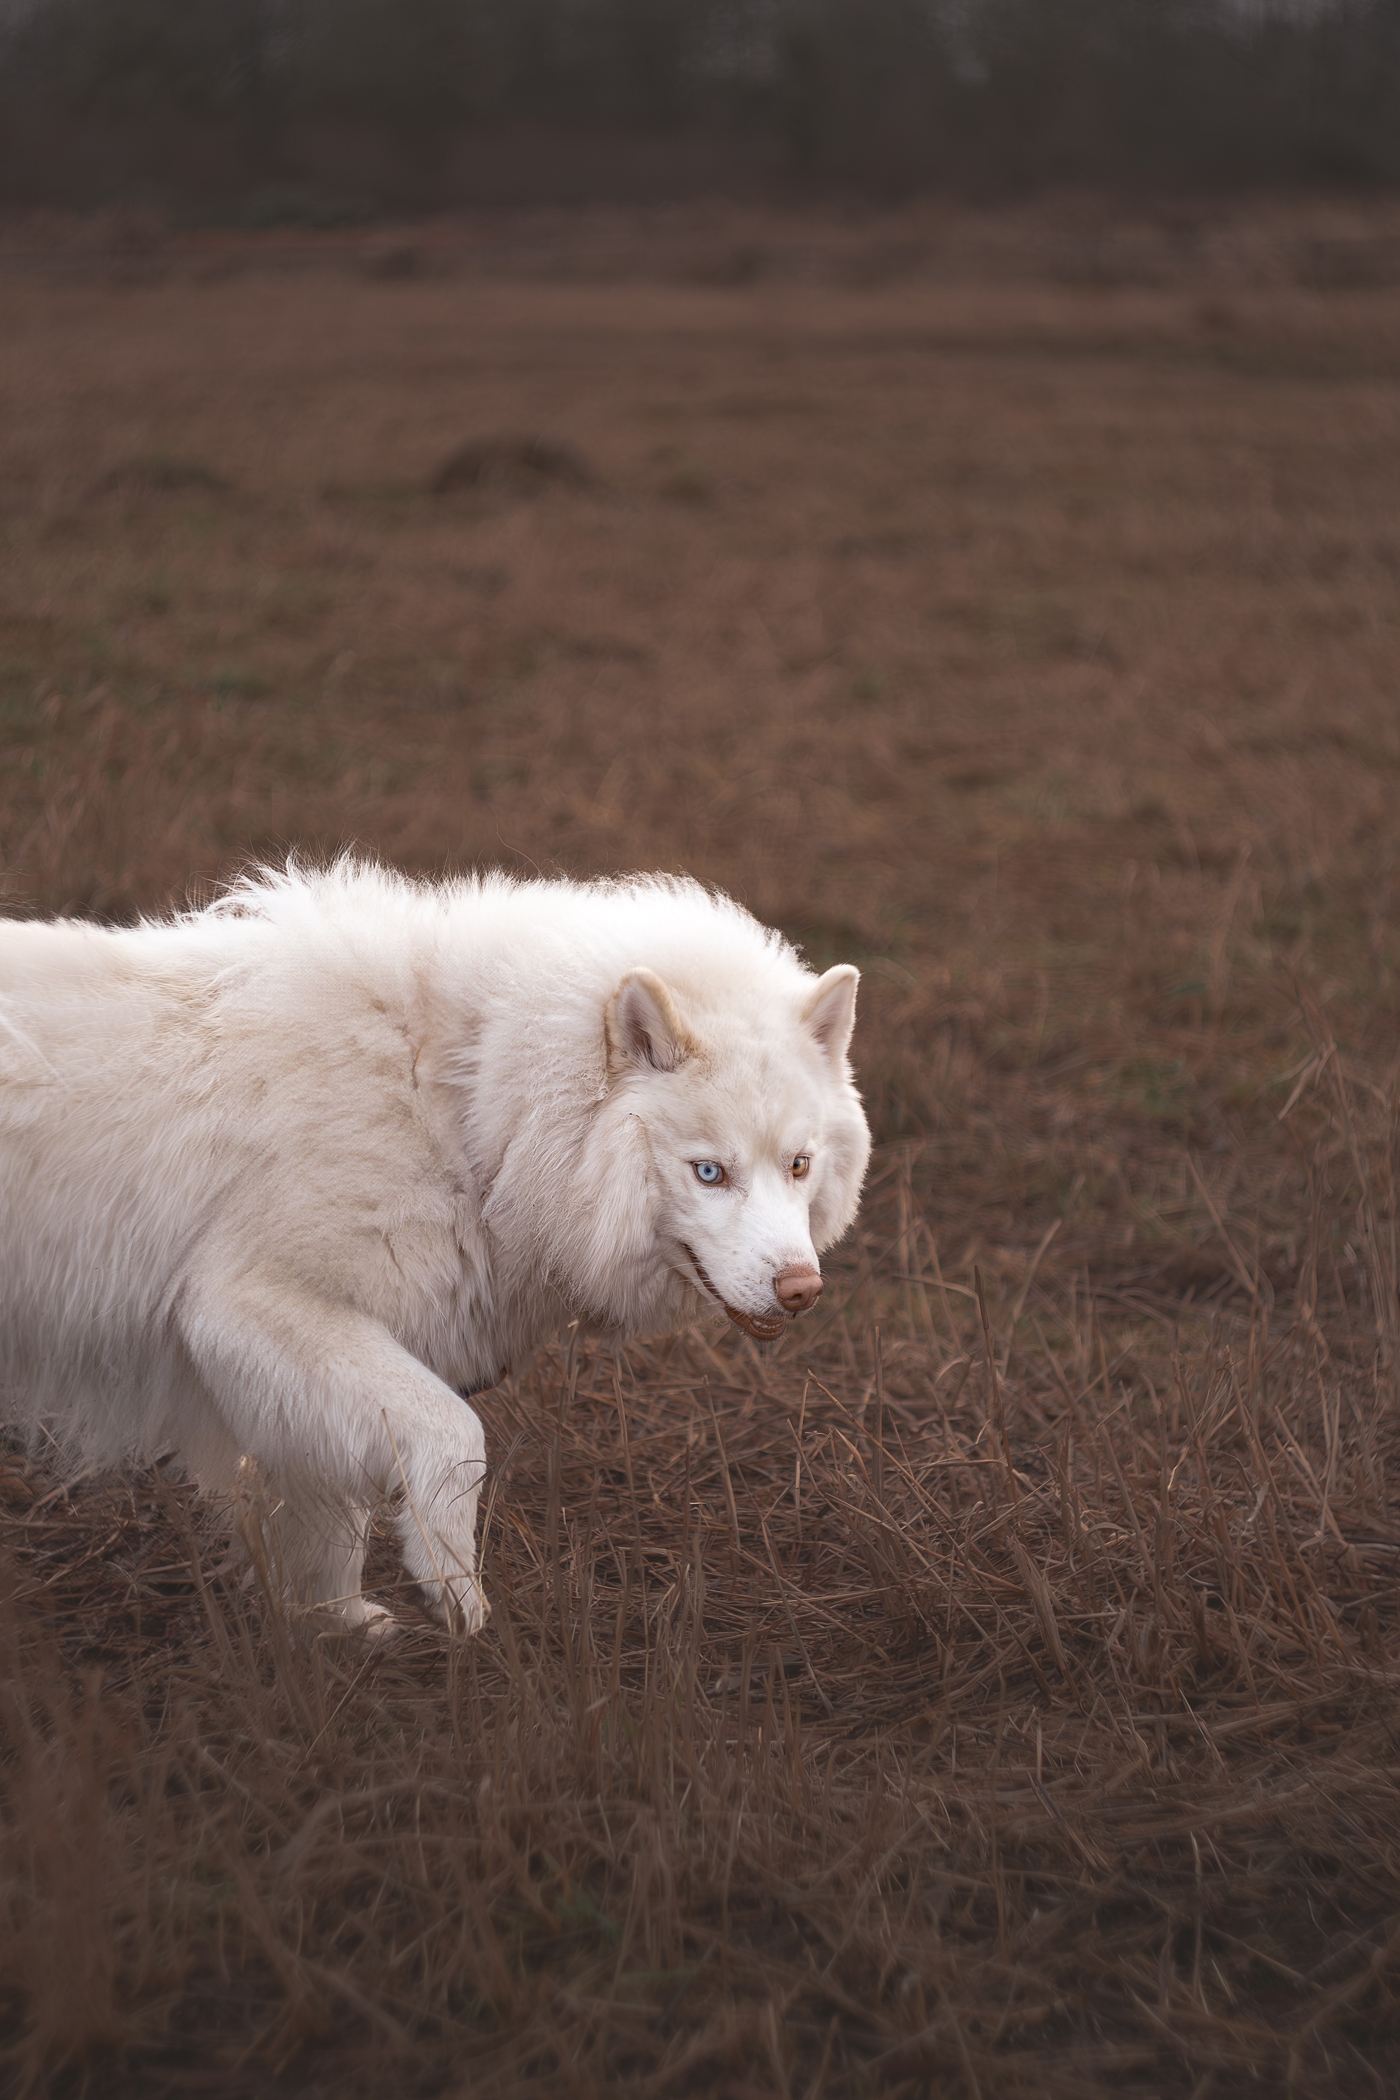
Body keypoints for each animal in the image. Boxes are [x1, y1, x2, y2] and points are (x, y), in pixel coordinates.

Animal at [0, 869, 868, 1637]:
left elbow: (329, 1528)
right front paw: (456, 1600)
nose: (801, 1290)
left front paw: (336, 1628)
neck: (465, 1101)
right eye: (709, 1172)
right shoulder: (253, 1305)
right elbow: (456, 1440)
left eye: (798, 1165)